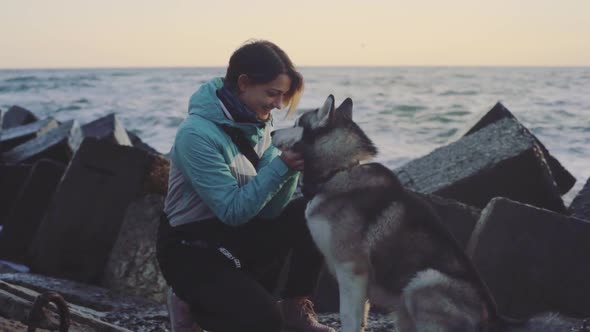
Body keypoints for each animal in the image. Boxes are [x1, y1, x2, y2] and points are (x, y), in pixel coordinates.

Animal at [272, 95, 584, 332]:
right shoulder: (358, 283)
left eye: (297, 123)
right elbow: (359, 320)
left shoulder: (352, 271)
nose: (273, 130)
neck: (339, 170)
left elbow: (350, 320)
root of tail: (496, 318)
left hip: (423, 282)